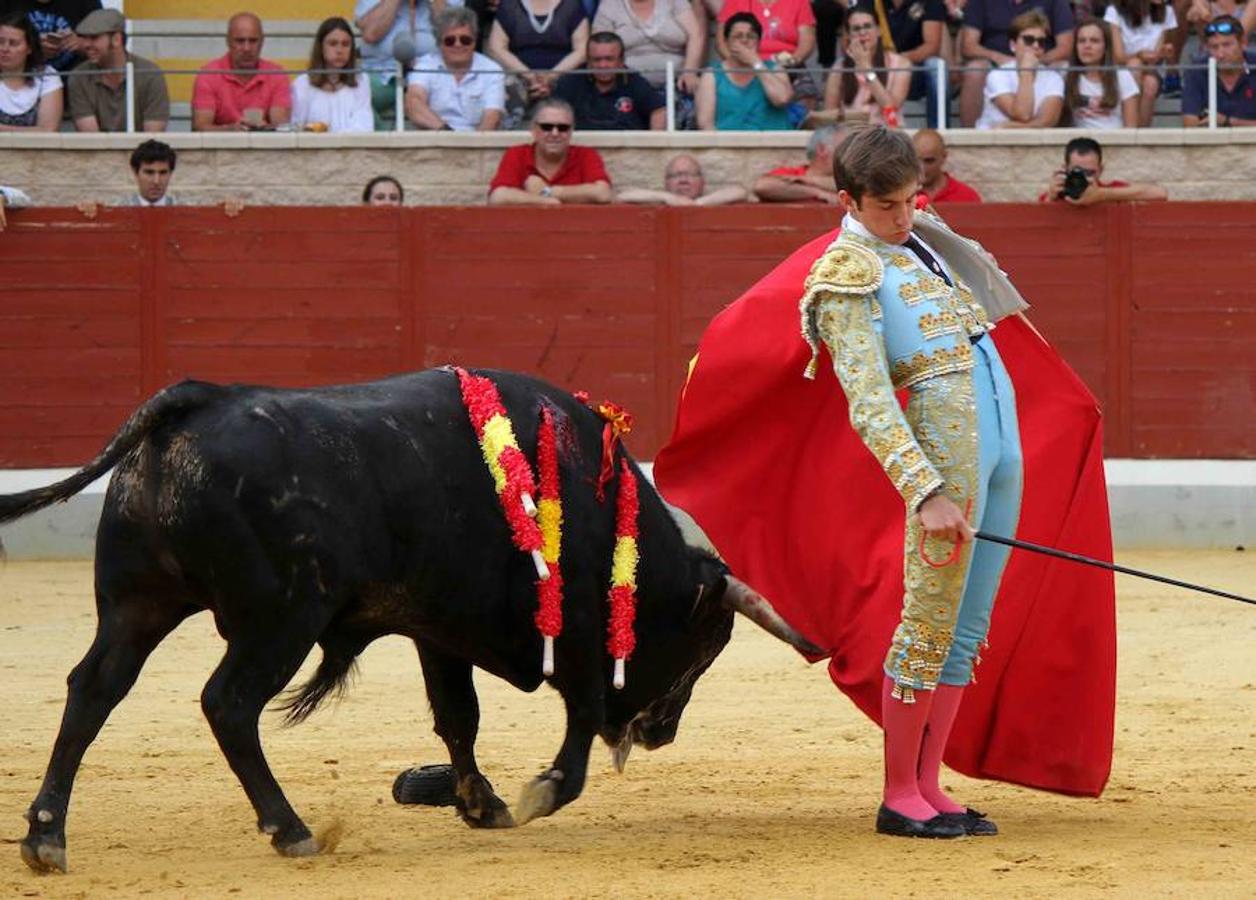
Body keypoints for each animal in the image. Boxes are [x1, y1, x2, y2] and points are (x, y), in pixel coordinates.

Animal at [0, 364, 818, 868]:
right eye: (702, 647)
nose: (660, 733)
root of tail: (195, 399)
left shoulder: (436, 628)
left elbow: (458, 718)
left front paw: (481, 804)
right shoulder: (577, 632)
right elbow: (578, 718)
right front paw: (539, 793)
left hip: (137, 603)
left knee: (93, 690)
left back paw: (46, 837)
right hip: (280, 621)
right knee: (227, 704)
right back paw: (290, 829)